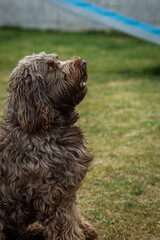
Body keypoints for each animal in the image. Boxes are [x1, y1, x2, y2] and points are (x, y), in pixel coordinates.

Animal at [0, 53, 97, 240]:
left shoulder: (67, 188)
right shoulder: (53, 193)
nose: (83, 63)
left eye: (57, 59)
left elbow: (74, 212)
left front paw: (84, 228)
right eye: (50, 67)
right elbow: (65, 222)